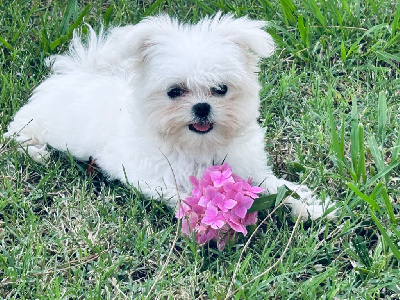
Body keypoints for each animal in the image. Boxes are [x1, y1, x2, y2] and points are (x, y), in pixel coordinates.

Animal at [4, 13, 332, 220]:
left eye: (221, 89)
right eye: (175, 91)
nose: (202, 107)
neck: (200, 147)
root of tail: (81, 71)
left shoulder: (248, 167)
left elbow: (279, 186)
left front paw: (309, 206)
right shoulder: (157, 178)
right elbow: (186, 196)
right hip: (46, 122)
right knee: (17, 131)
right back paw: (35, 151)